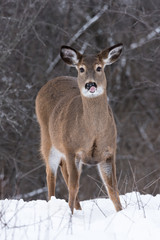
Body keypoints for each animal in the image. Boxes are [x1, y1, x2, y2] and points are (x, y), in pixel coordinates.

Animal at [35, 43, 123, 214]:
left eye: (99, 67)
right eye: (81, 69)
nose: (90, 85)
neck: (93, 133)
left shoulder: (109, 152)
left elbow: (113, 189)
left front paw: (121, 212)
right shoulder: (71, 150)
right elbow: (74, 186)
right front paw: (69, 215)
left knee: (64, 172)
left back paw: (78, 208)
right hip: (48, 140)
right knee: (51, 174)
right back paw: (54, 204)